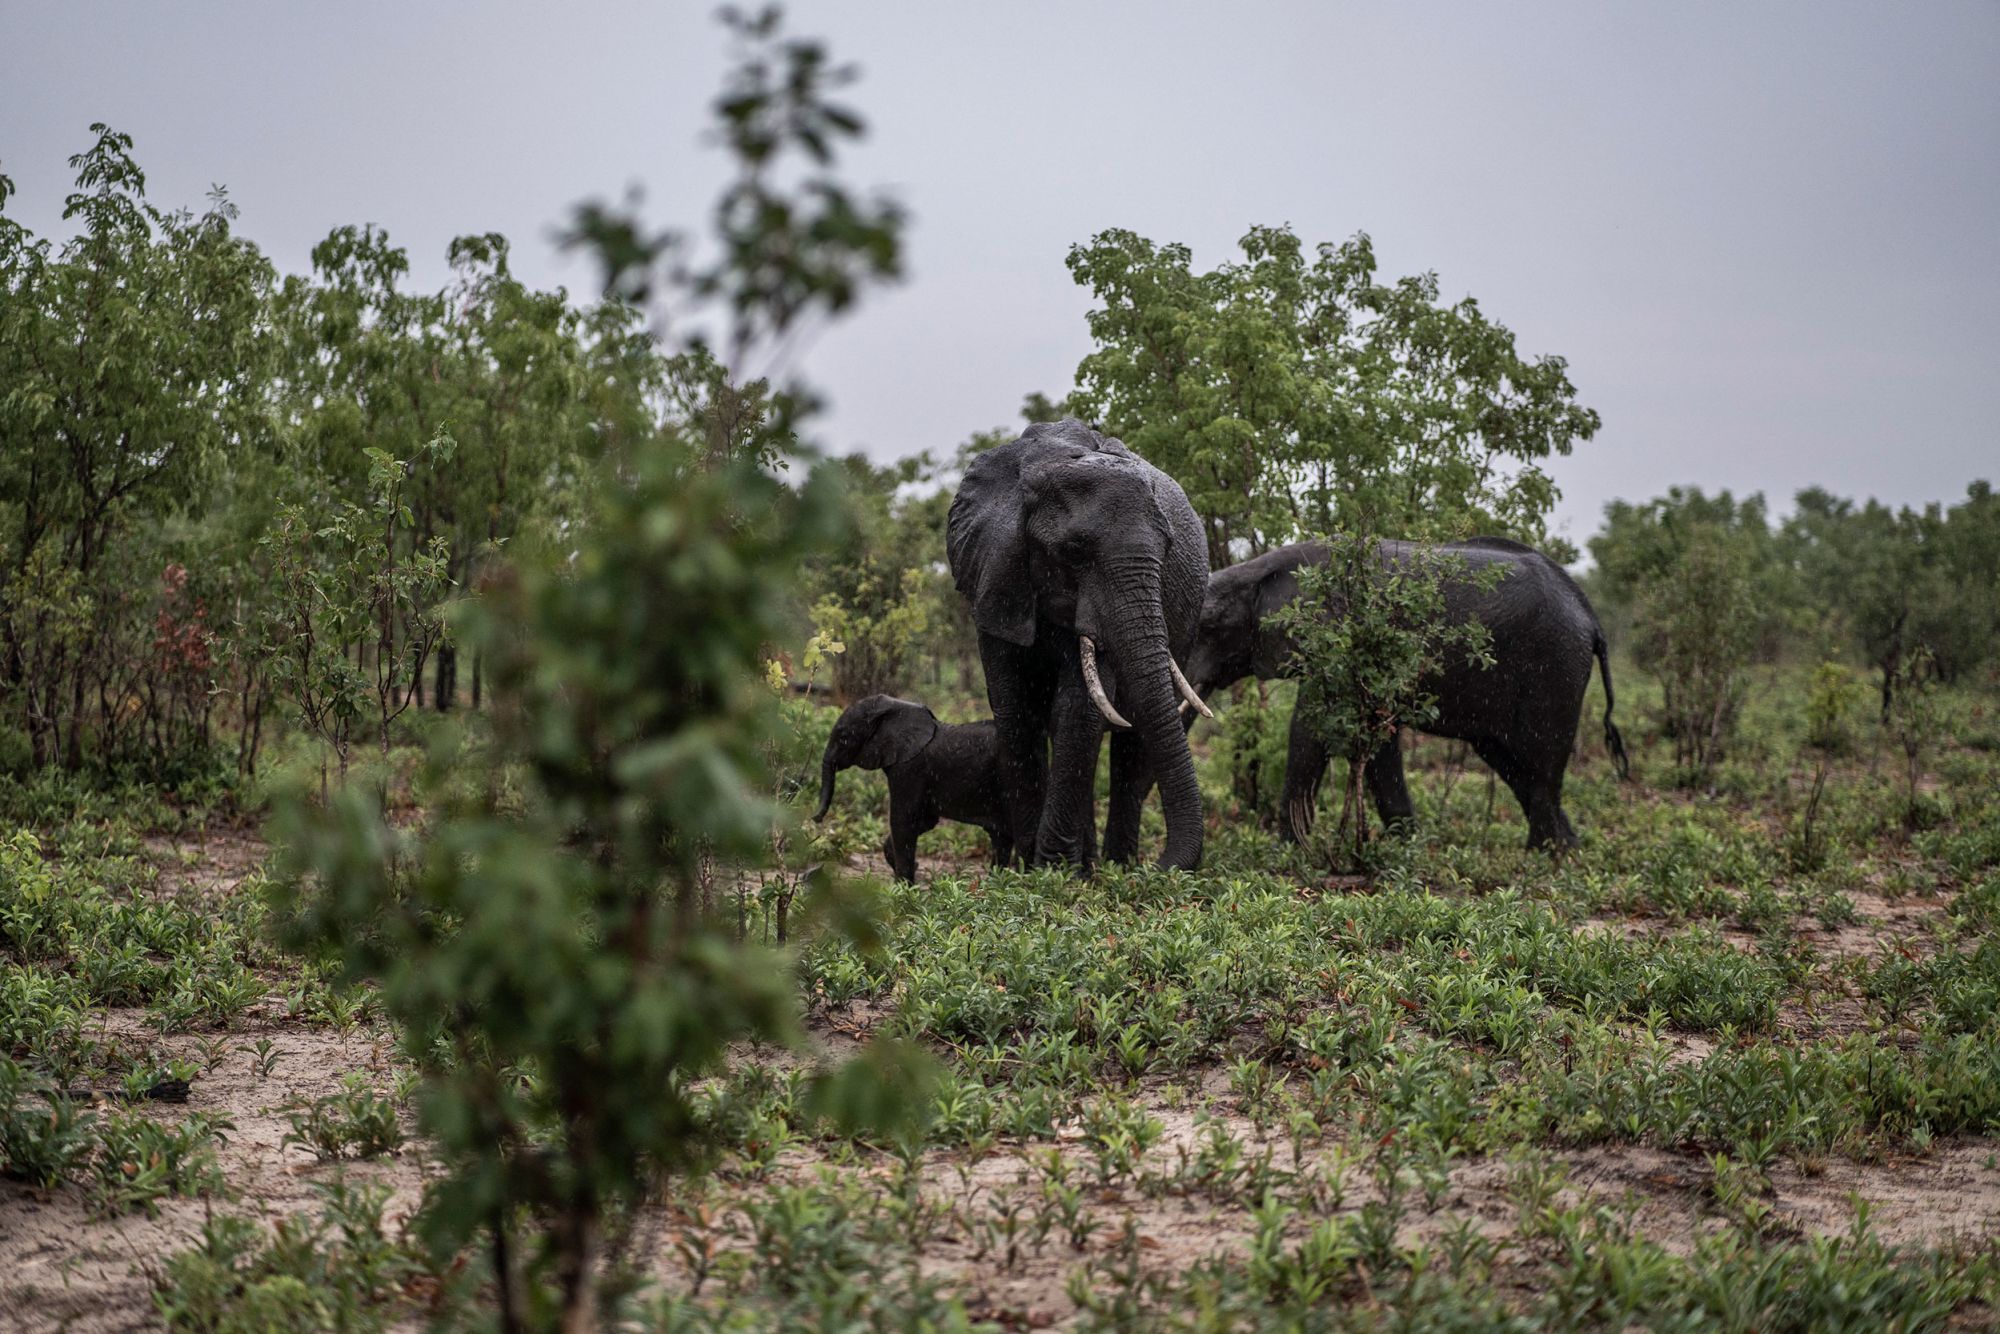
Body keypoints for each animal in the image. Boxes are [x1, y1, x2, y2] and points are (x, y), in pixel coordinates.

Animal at [808, 696, 1016, 880]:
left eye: (844, 738)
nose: (815, 818)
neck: (895, 707)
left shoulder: (909, 769)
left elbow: (902, 820)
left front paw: (903, 890)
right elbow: (924, 821)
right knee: (1001, 838)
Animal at [944, 420, 1208, 876]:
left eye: (1168, 549)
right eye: (1073, 552)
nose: (1161, 867)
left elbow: (1079, 710)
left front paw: (1053, 870)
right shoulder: (995, 574)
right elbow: (1016, 709)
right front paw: (1034, 869)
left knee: (1133, 744)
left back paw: (1116, 866)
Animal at [1184, 536, 1624, 852]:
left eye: (1207, 626)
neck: (1257, 569)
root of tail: (1592, 619)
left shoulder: (1339, 641)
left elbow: (1311, 730)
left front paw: (1287, 852)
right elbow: (1375, 740)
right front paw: (1405, 846)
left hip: (1555, 665)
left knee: (1541, 758)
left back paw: (1544, 857)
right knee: (1510, 761)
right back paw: (1566, 850)